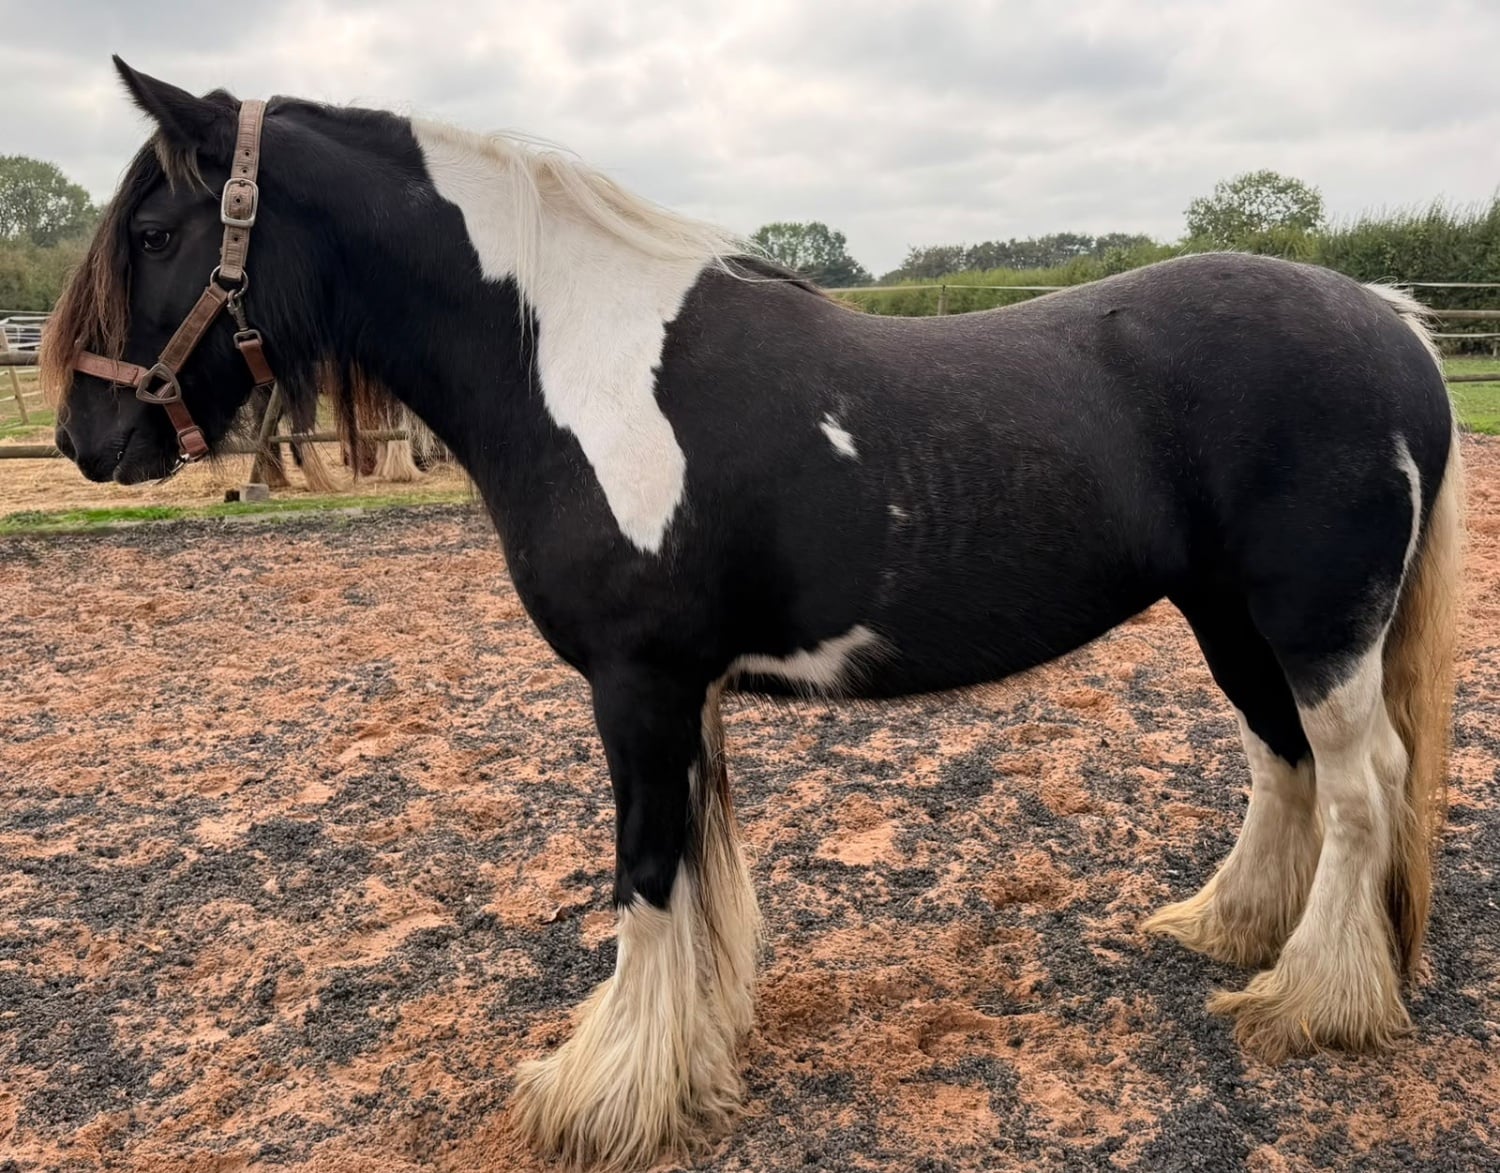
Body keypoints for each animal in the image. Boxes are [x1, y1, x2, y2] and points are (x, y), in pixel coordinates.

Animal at [42, 60, 1463, 1172]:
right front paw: (693, 1056)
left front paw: (604, 1098)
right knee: (1282, 763)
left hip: (1316, 624)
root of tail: (1394, 322)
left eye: (157, 230)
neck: (564, 357)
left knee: (1360, 788)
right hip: (1231, 617)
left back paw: (1312, 1003)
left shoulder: (638, 683)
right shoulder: (684, 690)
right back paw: (1230, 932)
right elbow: (702, 874)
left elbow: (647, 877)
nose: (86, 438)